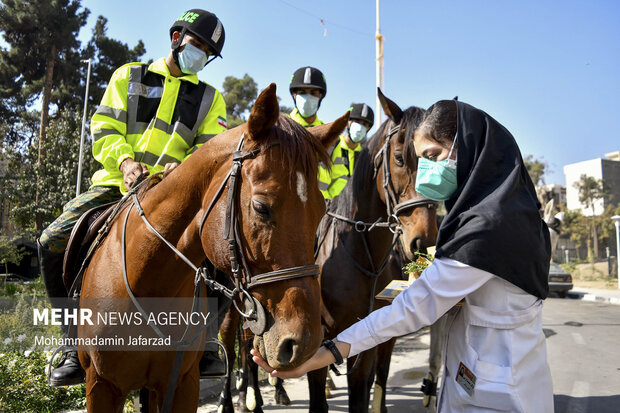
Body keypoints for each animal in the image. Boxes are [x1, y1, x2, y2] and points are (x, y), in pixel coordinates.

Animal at [77, 84, 348, 412]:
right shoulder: (101, 386)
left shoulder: (181, 383)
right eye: (261, 207)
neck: (147, 279)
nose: (304, 343)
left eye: (321, 212)